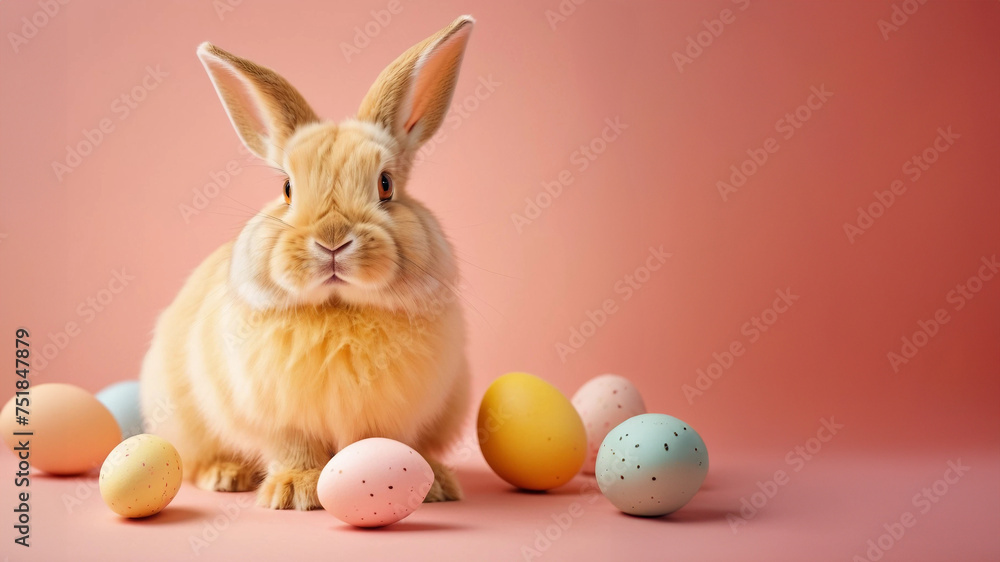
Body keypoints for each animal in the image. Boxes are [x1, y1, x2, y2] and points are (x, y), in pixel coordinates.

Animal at [139, 16, 475, 510]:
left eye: (386, 185)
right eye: (286, 189)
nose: (332, 240)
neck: (337, 308)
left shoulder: (395, 415)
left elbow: (380, 444)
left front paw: (417, 483)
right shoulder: (278, 417)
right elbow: (293, 447)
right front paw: (295, 491)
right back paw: (227, 475)